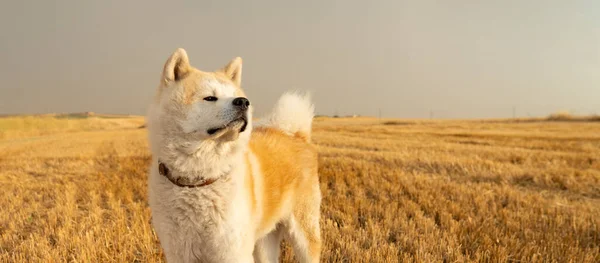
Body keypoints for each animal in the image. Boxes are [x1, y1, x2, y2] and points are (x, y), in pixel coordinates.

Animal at [146, 48, 322, 263]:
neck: (197, 181)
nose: (243, 102)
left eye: (235, 96)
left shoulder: (232, 250)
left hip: (303, 234)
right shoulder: (179, 251)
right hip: (265, 242)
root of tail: (295, 135)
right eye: (210, 98)